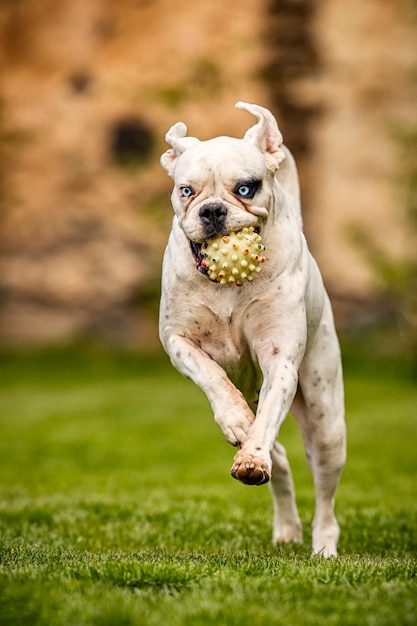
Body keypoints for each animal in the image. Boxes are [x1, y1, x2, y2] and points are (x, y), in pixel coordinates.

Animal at [159, 102, 344, 556]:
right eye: (186, 191)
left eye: (246, 188)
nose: (212, 210)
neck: (227, 288)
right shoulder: (177, 340)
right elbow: (213, 376)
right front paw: (236, 422)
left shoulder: (281, 357)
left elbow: (267, 421)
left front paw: (251, 455)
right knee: (282, 460)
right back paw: (286, 527)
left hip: (327, 424)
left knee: (324, 495)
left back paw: (323, 547)